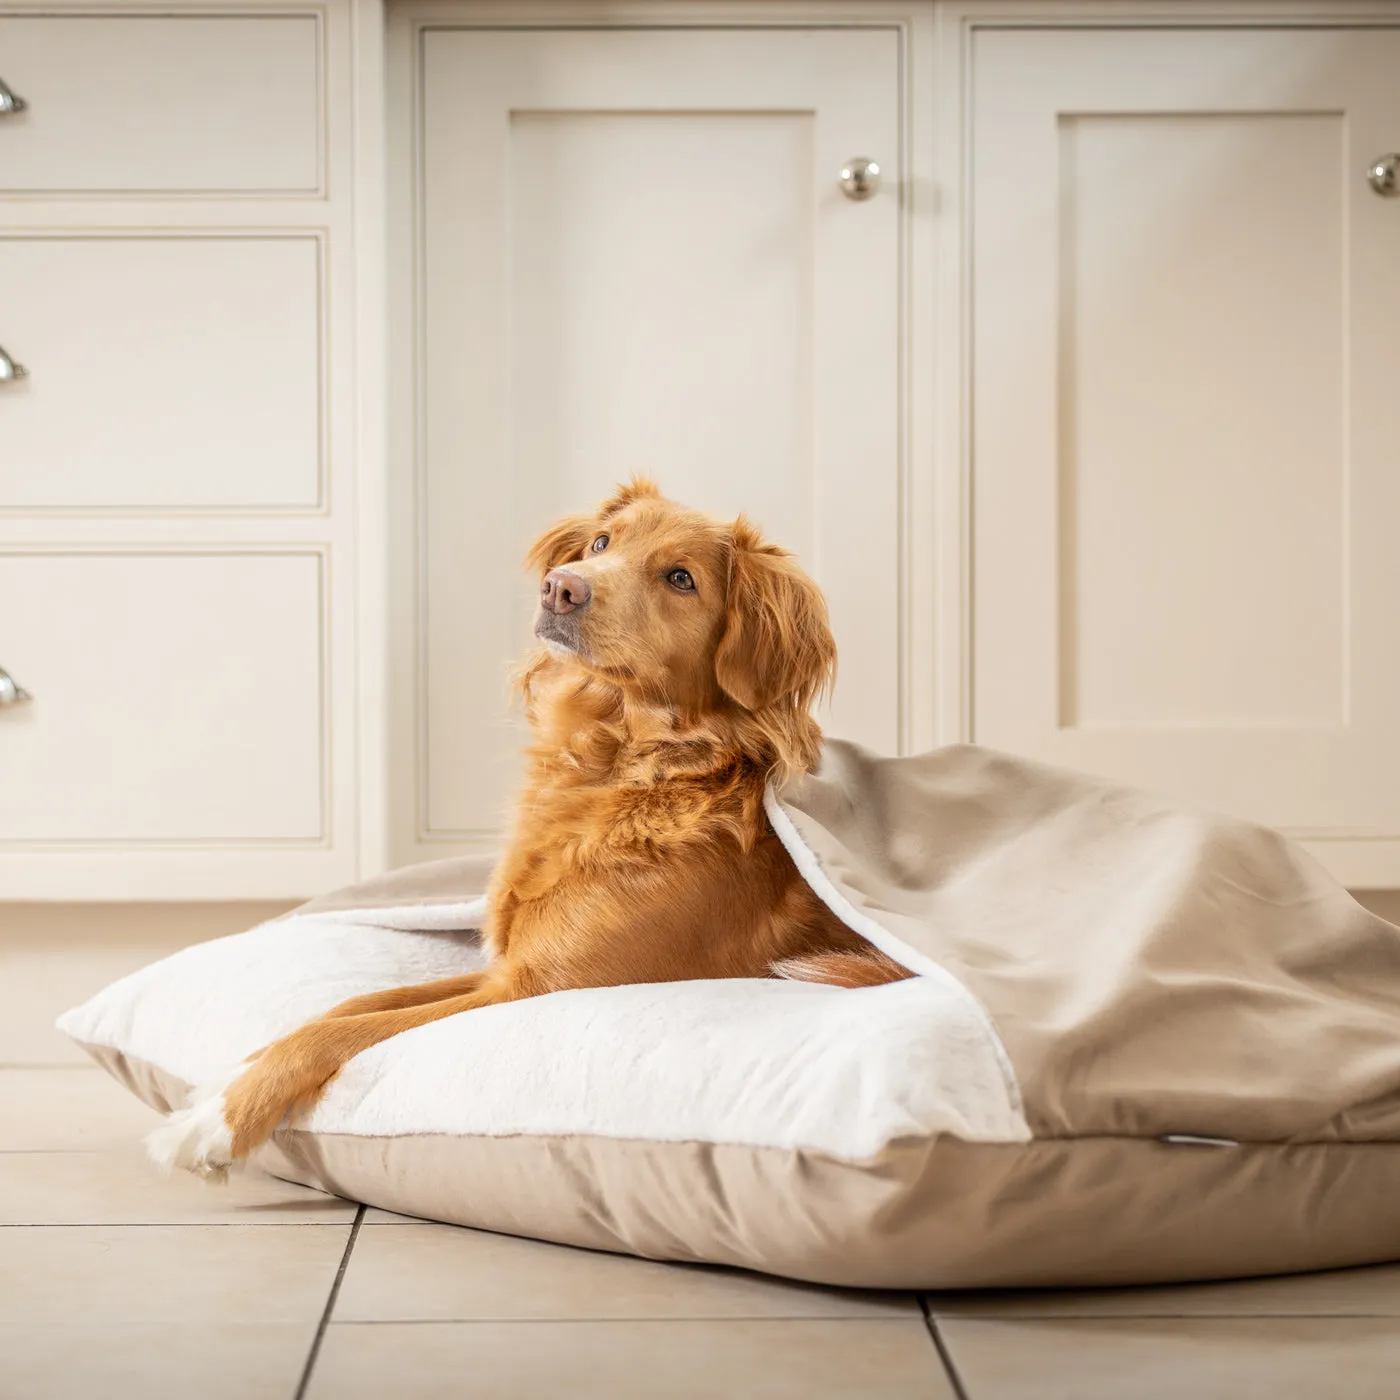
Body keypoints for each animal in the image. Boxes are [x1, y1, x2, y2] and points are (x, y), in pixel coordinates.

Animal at [150, 481, 907, 1181]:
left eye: (680, 578)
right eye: (602, 543)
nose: (562, 587)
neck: (619, 769)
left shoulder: (533, 989)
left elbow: (349, 1031)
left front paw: (215, 1123)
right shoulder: (508, 967)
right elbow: (346, 1005)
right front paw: (230, 1076)